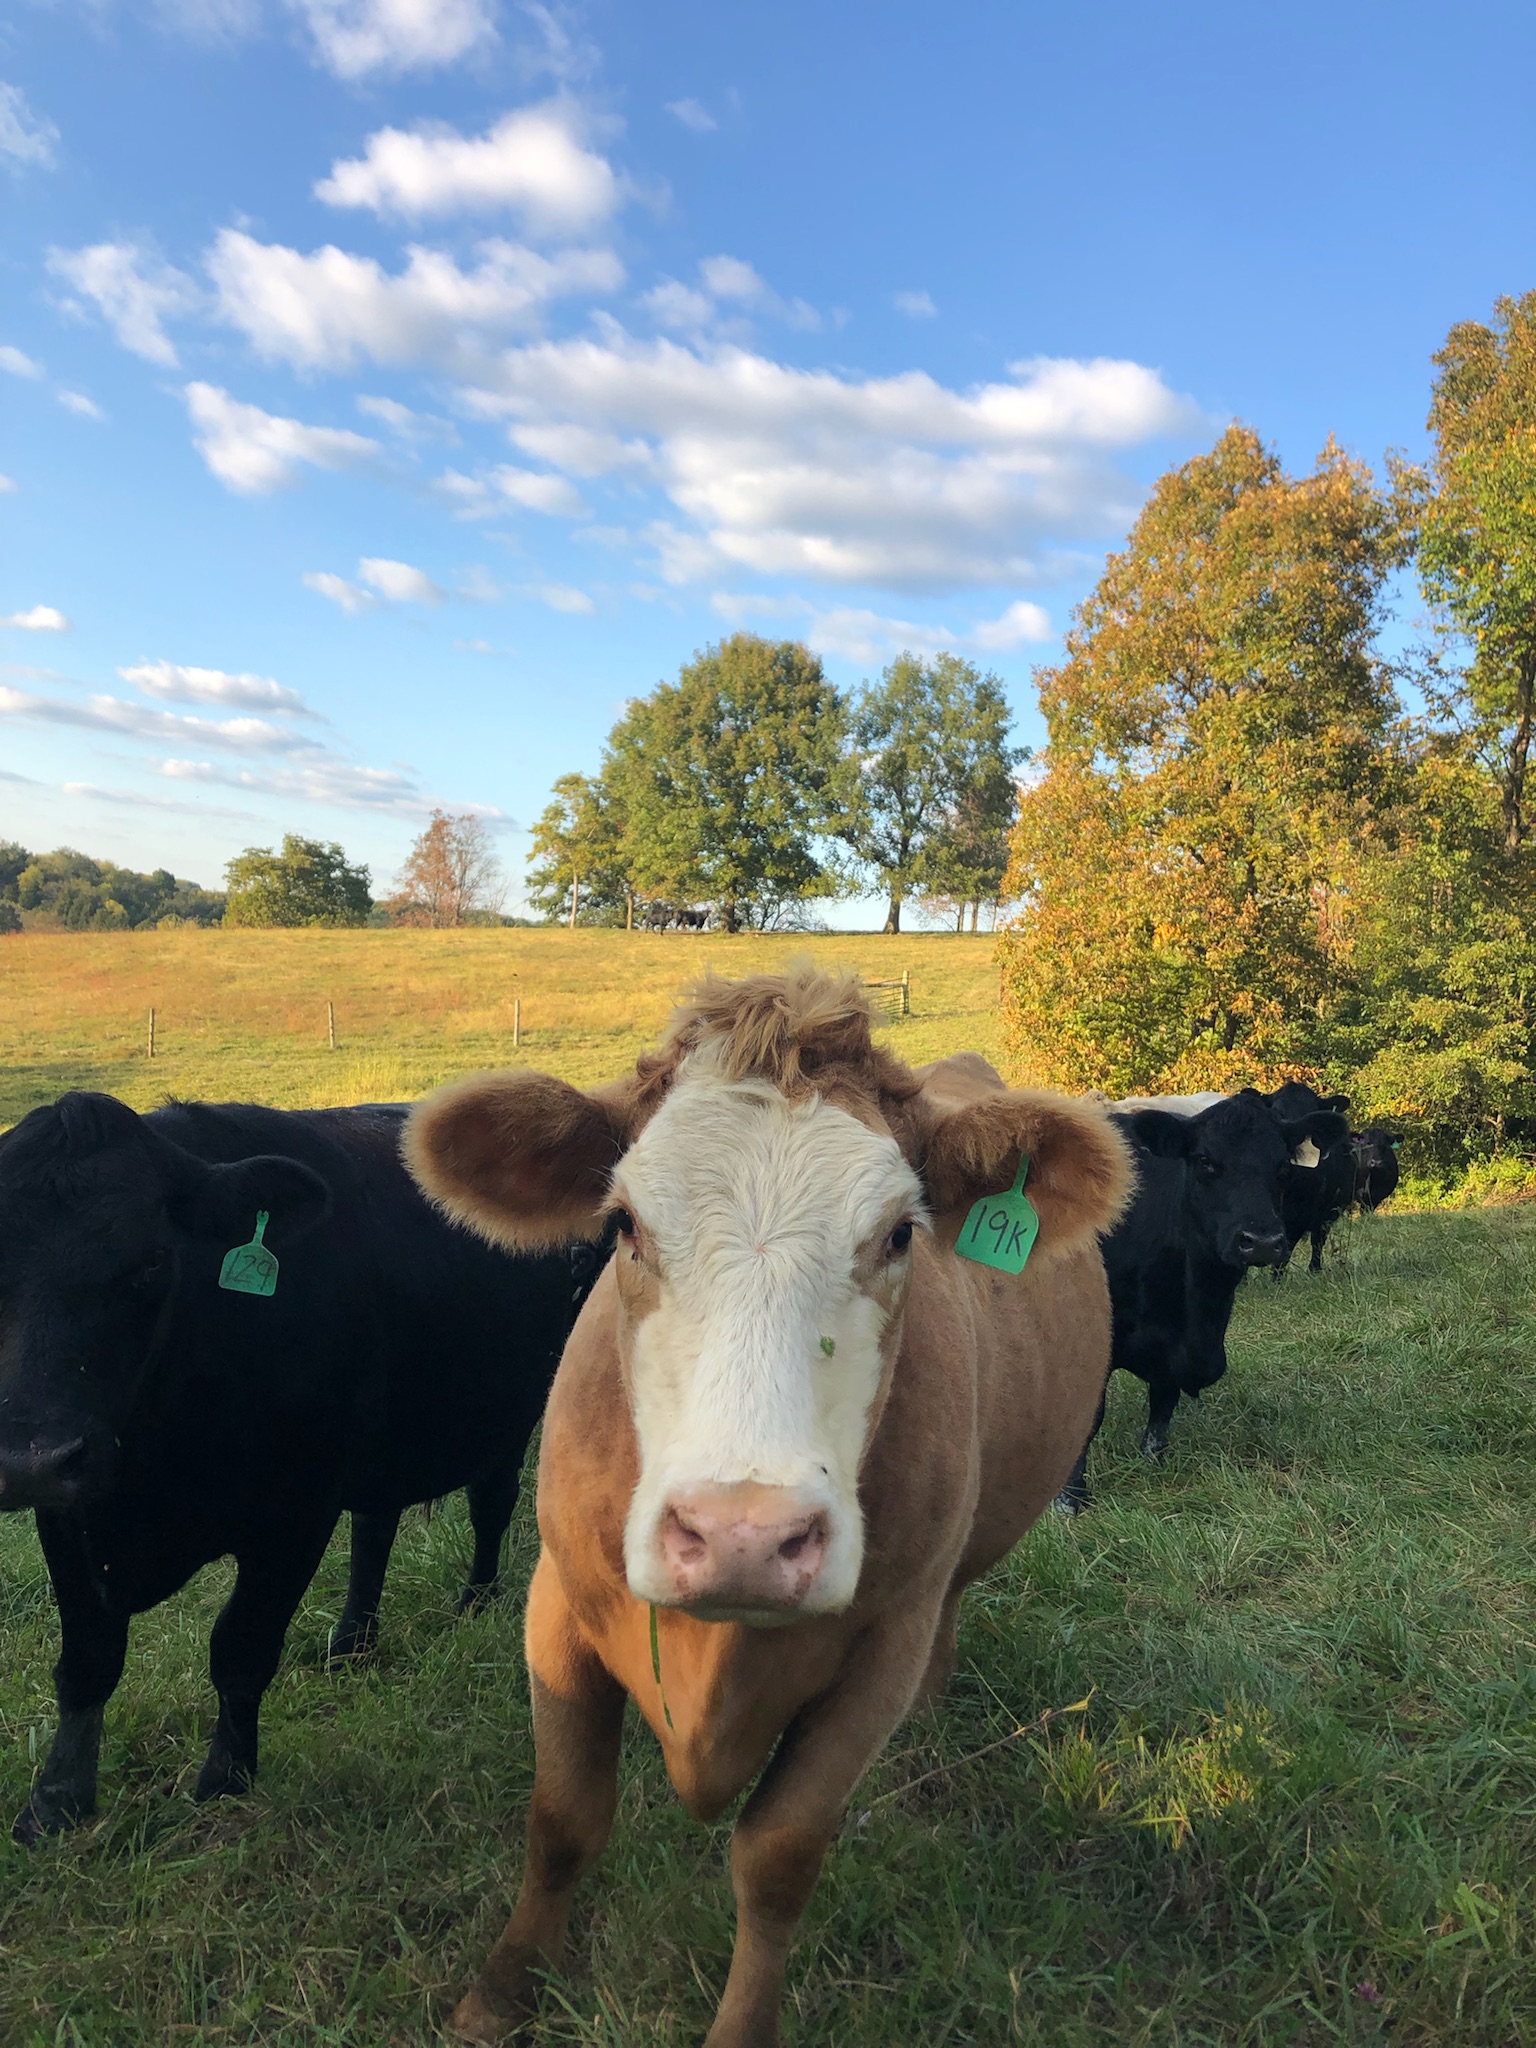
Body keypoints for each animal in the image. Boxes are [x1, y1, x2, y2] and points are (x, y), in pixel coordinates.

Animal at [0, 1091, 605, 1843]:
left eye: (151, 1264)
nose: (31, 1460)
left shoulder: (294, 1515)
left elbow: (240, 1648)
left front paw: (225, 1780)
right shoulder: (69, 1514)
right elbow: (88, 1658)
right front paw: (54, 1801)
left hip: (517, 1407)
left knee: (489, 1505)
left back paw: (474, 1600)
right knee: (376, 1526)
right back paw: (351, 1641)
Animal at [403, 968, 1133, 2047]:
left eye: (901, 1231)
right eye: (623, 1224)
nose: (740, 1537)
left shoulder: (882, 1644)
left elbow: (779, 1853)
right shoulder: (556, 1604)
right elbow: (564, 1816)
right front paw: (498, 1993)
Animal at [1055, 1088, 1349, 1512]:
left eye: (1282, 1167)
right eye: (1205, 1161)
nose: (1261, 1241)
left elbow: (1164, 1400)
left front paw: (1154, 1460)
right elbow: (1091, 1413)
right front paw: (1071, 1495)